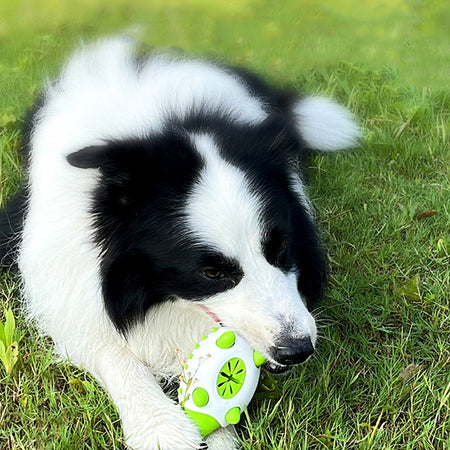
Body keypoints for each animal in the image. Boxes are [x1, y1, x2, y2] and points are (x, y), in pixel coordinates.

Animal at [0, 39, 358, 450]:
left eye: (280, 246)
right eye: (212, 272)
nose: (298, 350)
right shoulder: (63, 276)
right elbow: (108, 347)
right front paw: (160, 428)